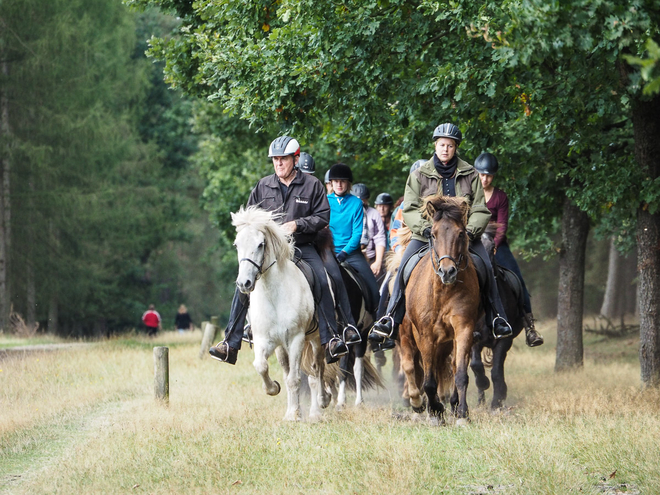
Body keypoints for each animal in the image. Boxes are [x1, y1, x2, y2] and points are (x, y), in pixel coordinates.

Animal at [231, 206, 336, 422]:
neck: (274, 296)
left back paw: (319, 406)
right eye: (236, 244)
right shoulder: (264, 340)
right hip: (282, 347)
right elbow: (262, 366)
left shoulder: (296, 339)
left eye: (261, 244)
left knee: (317, 370)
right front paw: (275, 391)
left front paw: (295, 415)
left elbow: (295, 379)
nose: (244, 283)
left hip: (316, 339)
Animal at [398, 196, 480, 424]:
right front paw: (433, 410)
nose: (448, 271)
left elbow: (460, 373)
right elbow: (425, 377)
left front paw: (461, 414)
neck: (442, 291)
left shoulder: (464, 328)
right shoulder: (423, 334)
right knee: (415, 367)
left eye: (461, 233)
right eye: (433, 234)